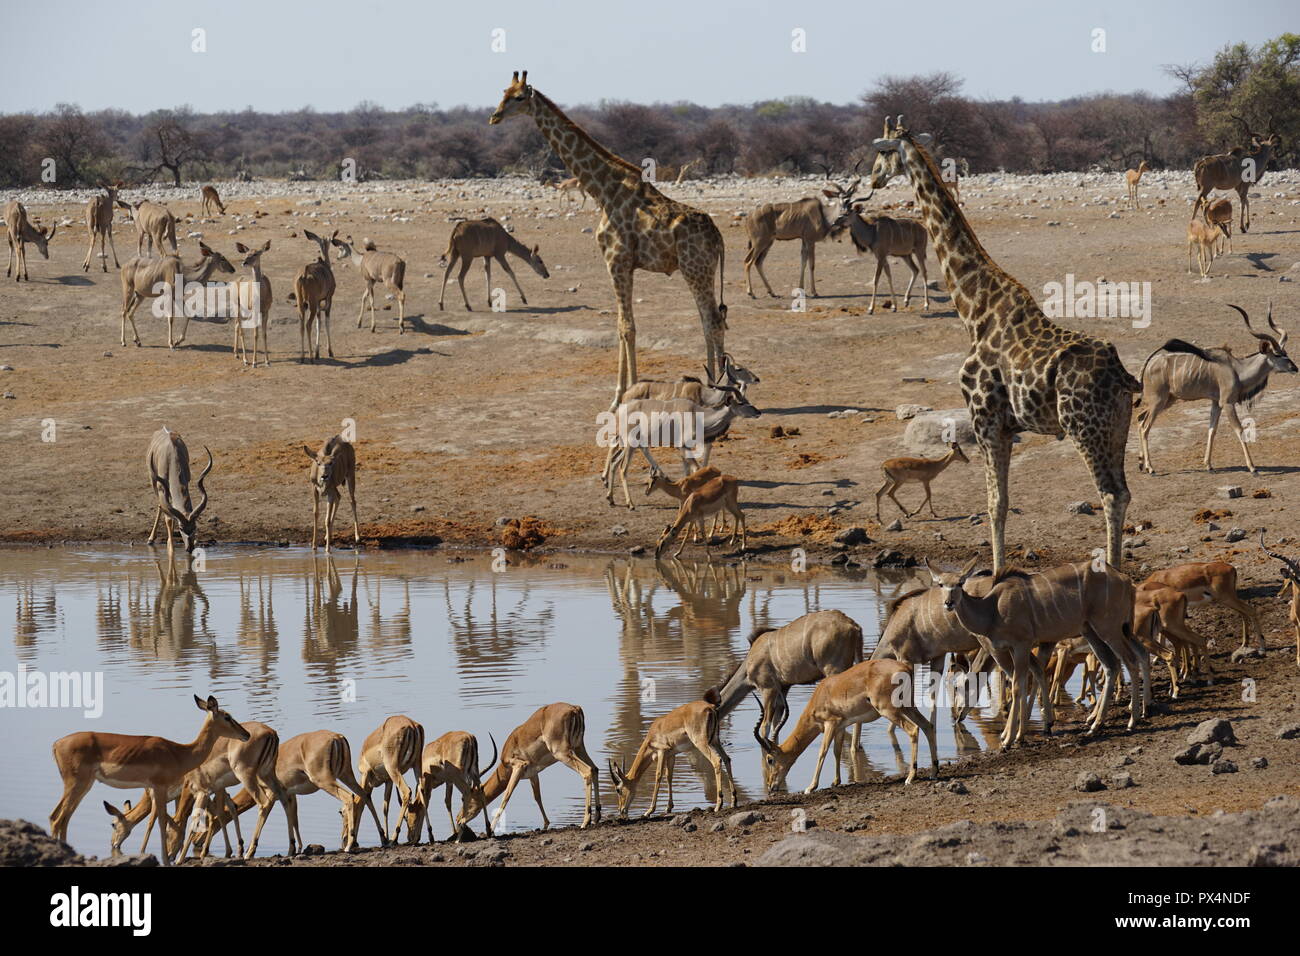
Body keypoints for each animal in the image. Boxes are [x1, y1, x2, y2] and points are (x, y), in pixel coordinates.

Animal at [488, 70, 728, 400]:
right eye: (503, 92)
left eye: (519, 97)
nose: (495, 116)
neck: (603, 191)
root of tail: (718, 237)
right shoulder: (623, 265)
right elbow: (621, 325)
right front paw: (623, 390)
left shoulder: (616, 261)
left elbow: (626, 326)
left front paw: (621, 395)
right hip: (702, 270)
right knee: (711, 319)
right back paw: (714, 382)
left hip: (695, 269)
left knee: (713, 320)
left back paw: (717, 386)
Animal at [868, 115, 1144, 572]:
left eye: (884, 152)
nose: (871, 179)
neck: (972, 308)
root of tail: (1122, 375)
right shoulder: (1006, 426)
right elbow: (1001, 500)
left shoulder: (985, 419)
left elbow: (995, 502)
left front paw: (997, 573)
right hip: (1117, 427)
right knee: (1123, 491)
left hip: (1085, 427)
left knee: (1109, 493)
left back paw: (1114, 573)